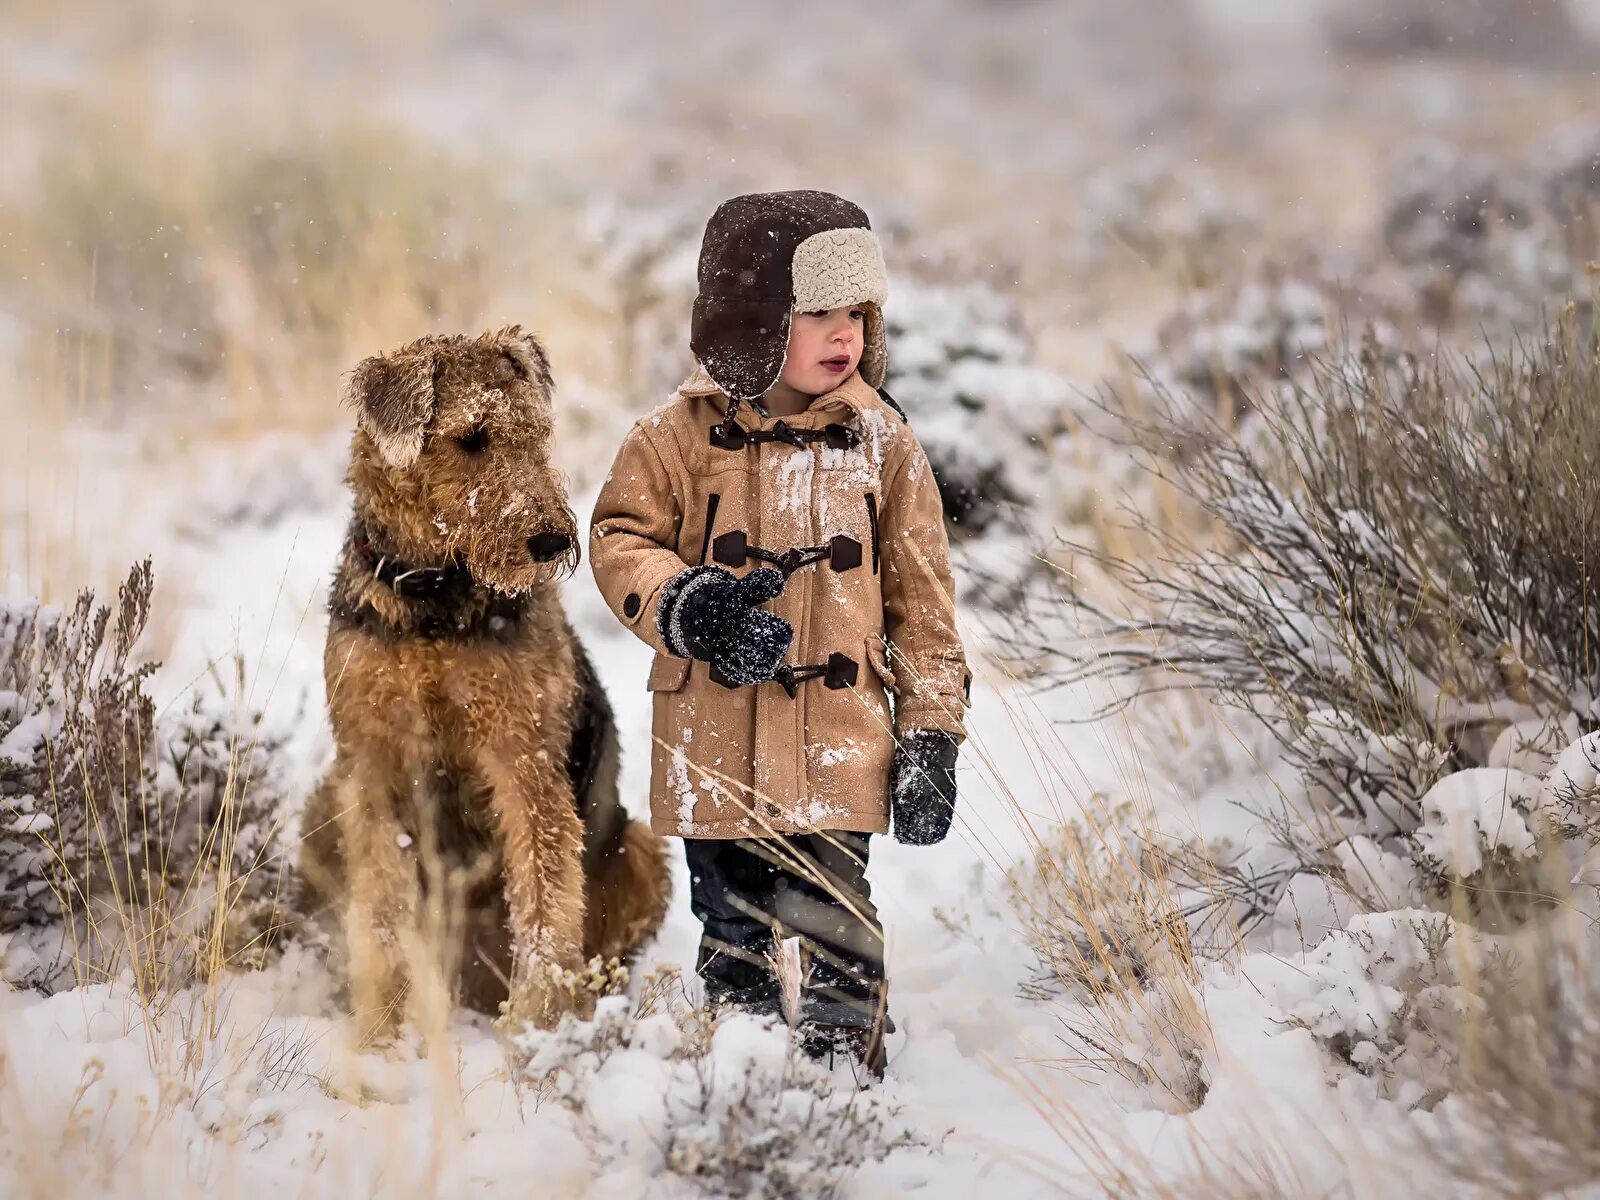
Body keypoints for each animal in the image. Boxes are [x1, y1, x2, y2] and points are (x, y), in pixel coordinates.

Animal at [299, 324, 668, 1036]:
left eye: (537, 431)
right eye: (471, 437)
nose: (552, 541)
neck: (433, 599)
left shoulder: (523, 761)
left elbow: (546, 908)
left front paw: (539, 1027)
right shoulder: (372, 764)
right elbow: (381, 910)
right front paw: (381, 1034)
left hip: (641, 850)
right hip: (325, 804)